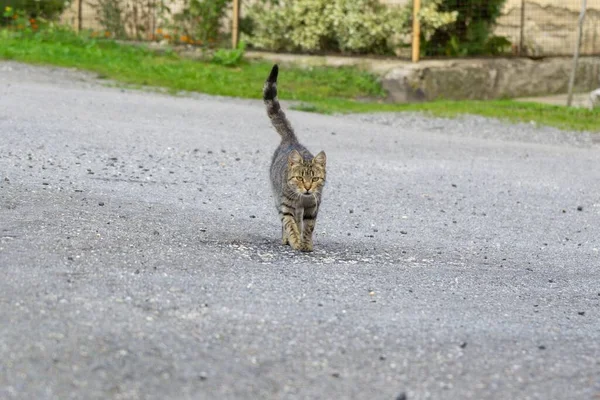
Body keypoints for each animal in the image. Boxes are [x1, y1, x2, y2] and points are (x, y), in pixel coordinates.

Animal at [264, 65, 328, 253]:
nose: (307, 188)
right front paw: (294, 241)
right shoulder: (286, 206)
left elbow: (308, 227)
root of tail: (292, 140)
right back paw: (285, 239)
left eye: (314, 179)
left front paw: (306, 244)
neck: (302, 199)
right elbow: (290, 224)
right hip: (277, 198)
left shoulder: (312, 207)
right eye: (300, 178)